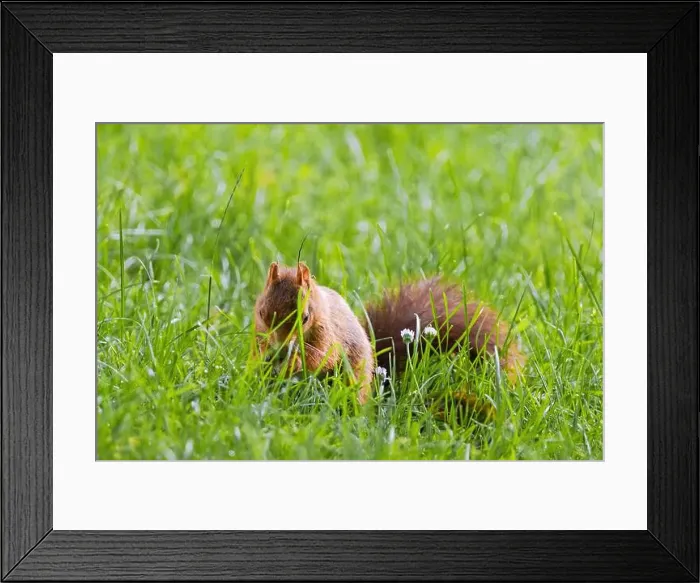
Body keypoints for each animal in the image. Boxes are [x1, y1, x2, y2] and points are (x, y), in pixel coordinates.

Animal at [253, 261, 526, 411]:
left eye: (305, 317)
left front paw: (293, 362)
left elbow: (322, 357)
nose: (280, 349)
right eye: (262, 312)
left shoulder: (328, 333)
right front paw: (265, 361)